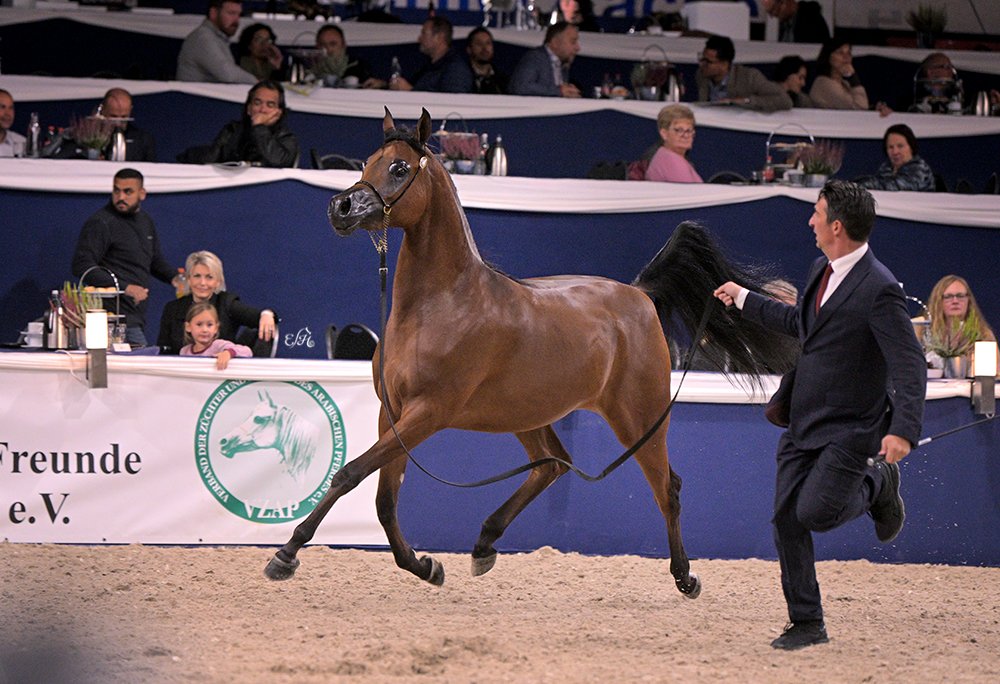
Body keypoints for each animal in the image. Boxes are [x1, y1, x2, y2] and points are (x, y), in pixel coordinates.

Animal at [264, 108, 795, 597]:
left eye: (397, 168)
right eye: (366, 162)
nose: (341, 208)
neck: (441, 305)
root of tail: (640, 295)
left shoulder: (427, 414)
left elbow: (350, 473)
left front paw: (285, 554)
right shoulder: (390, 412)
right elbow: (383, 499)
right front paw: (426, 567)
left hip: (639, 417)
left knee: (666, 486)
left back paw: (685, 576)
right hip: (528, 413)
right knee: (554, 464)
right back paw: (483, 545)